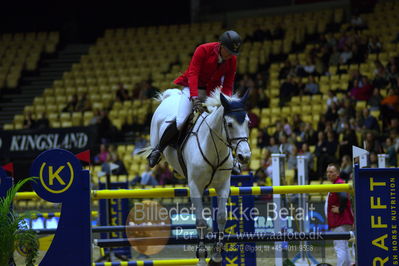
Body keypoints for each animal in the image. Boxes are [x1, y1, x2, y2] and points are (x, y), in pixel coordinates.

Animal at [143, 88, 250, 264]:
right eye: (229, 124)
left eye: (248, 123)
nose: (244, 156)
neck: (215, 149)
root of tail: (171, 96)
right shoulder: (195, 187)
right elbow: (200, 221)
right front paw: (201, 256)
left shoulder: (223, 186)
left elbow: (221, 217)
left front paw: (217, 255)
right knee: (161, 143)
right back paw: (155, 155)